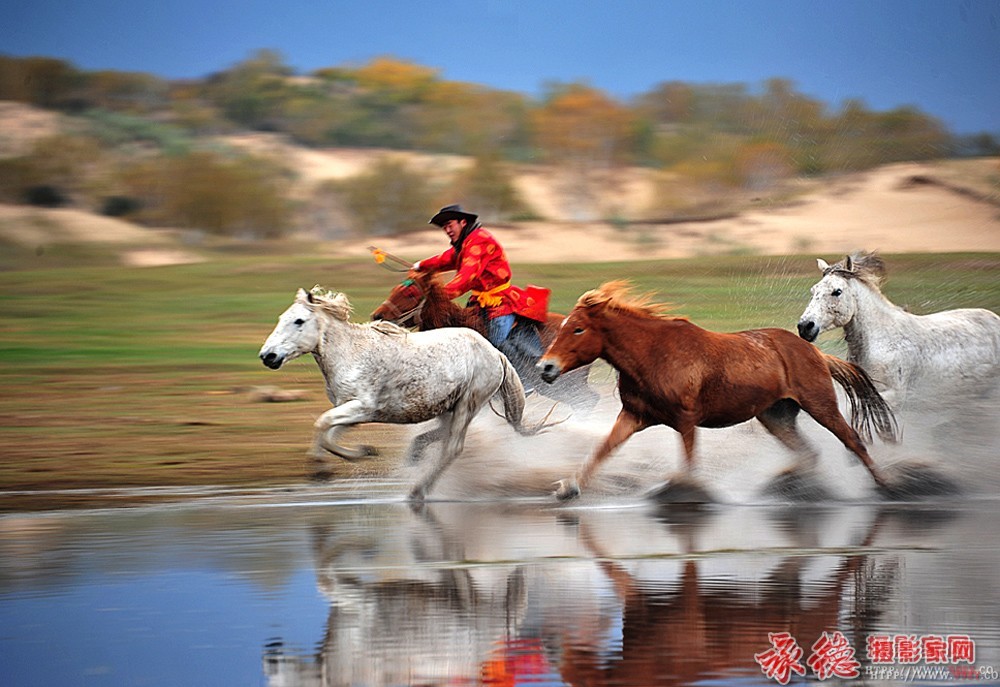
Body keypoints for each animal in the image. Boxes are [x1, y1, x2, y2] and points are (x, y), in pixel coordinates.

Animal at [258, 288, 540, 502]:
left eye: (299, 321)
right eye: (282, 317)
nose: (267, 356)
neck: (350, 353)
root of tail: (495, 353)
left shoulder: (362, 406)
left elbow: (322, 424)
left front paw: (320, 470)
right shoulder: (352, 411)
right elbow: (328, 435)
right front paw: (362, 452)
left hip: (467, 405)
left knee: (452, 448)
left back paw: (417, 491)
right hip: (449, 408)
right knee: (442, 437)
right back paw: (414, 456)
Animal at [540, 280, 900, 500]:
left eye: (577, 328)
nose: (546, 367)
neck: (653, 355)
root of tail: (815, 352)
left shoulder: (685, 420)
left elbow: (688, 464)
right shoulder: (634, 416)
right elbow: (603, 449)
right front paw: (568, 487)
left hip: (821, 404)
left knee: (853, 440)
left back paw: (887, 486)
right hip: (776, 416)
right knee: (807, 452)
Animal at [796, 253, 1000, 412]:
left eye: (837, 291)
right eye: (813, 291)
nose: (805, 326)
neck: (882, 341)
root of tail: (995, 318)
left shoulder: (892, 396)